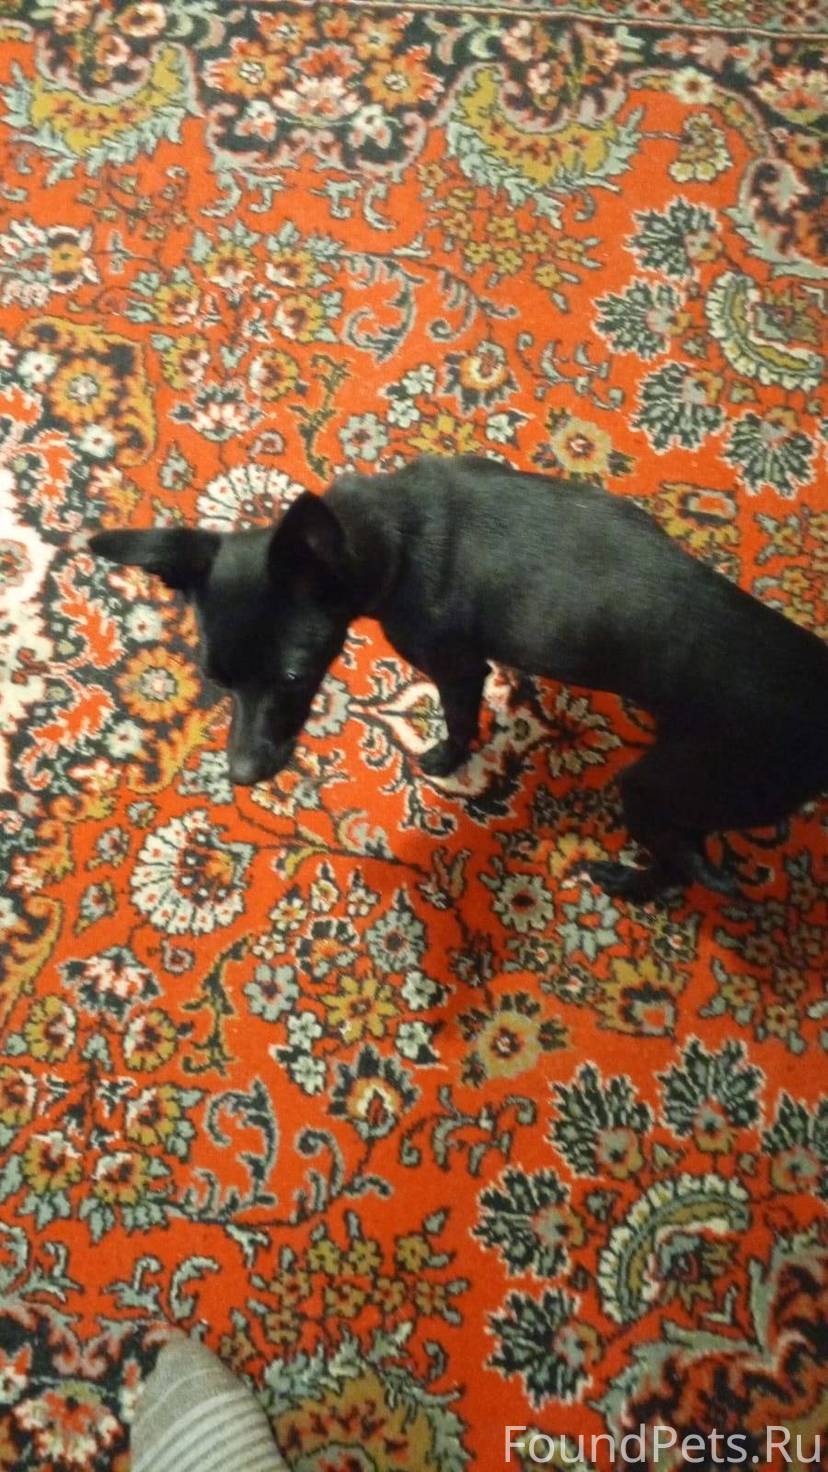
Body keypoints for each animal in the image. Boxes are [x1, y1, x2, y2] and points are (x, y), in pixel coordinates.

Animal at [89, 454, 828, 900]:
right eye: (214, 679)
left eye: (296, 675)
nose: (240, 776)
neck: (386, 532)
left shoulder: (456, 668)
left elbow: (460, 718)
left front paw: (447, 759)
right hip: (690, 795)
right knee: (690, 859)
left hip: (659, 786)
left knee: (680, 866)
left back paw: (625, 882)